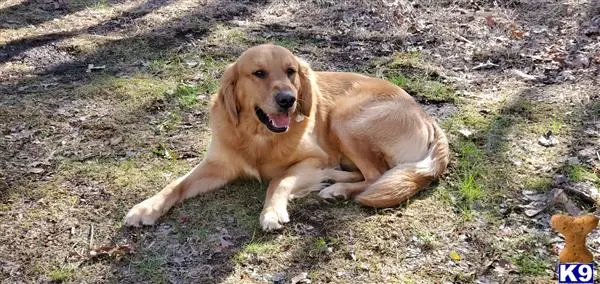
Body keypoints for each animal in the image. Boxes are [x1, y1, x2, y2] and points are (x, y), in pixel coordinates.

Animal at [124, 43, 448, 231]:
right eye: (258, 73)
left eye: (291, 71)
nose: (288, 100)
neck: (258, 135)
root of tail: (427, 116)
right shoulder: (217, 165)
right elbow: (176, 184)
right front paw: (146, 207)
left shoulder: (313, 157)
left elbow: (279, 180)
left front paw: (271, 212)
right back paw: (333, 181)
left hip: (344, 117)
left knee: (377, 174)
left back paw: (336, 187)